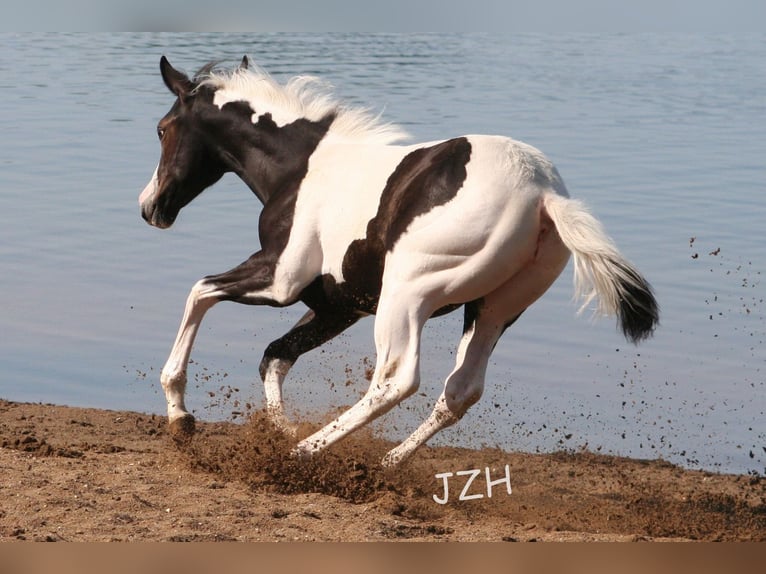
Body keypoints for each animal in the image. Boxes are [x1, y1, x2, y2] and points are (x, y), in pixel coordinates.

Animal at [138, 58, 660, 470]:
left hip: (408, 295)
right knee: (461, 389)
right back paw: (385, 463)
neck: (300, 168)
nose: (150, 208)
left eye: (163, 129)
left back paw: (303, 456)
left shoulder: (281, 279)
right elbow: (275, 356)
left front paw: (181, 414)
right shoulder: (339, 305)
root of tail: (543, 195)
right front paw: (276, 430)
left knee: (397, 379)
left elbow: (200, 291)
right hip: (497, 308)